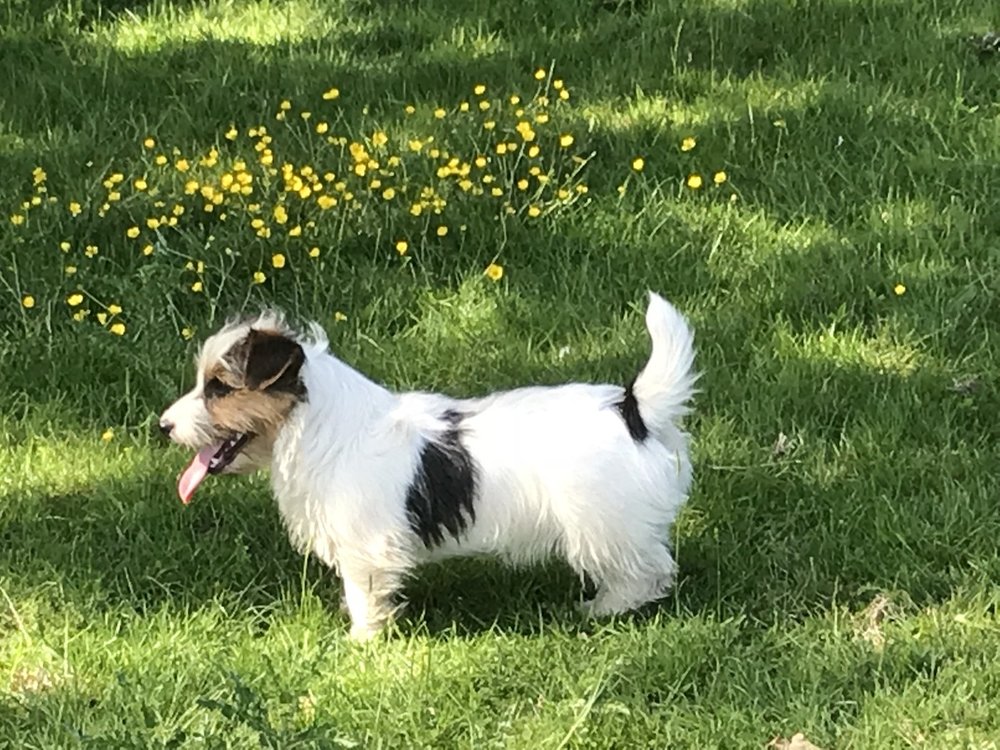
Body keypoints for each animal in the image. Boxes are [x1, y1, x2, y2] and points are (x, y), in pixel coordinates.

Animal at [159, 292, 697, 639]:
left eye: (219, 388)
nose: (164, 426)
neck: (318, 427)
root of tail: (632, 409)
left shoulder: (366, 548)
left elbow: (363, 592)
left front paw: (362, 639)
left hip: (604, 523)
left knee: (648, 571)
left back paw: (604, 609)